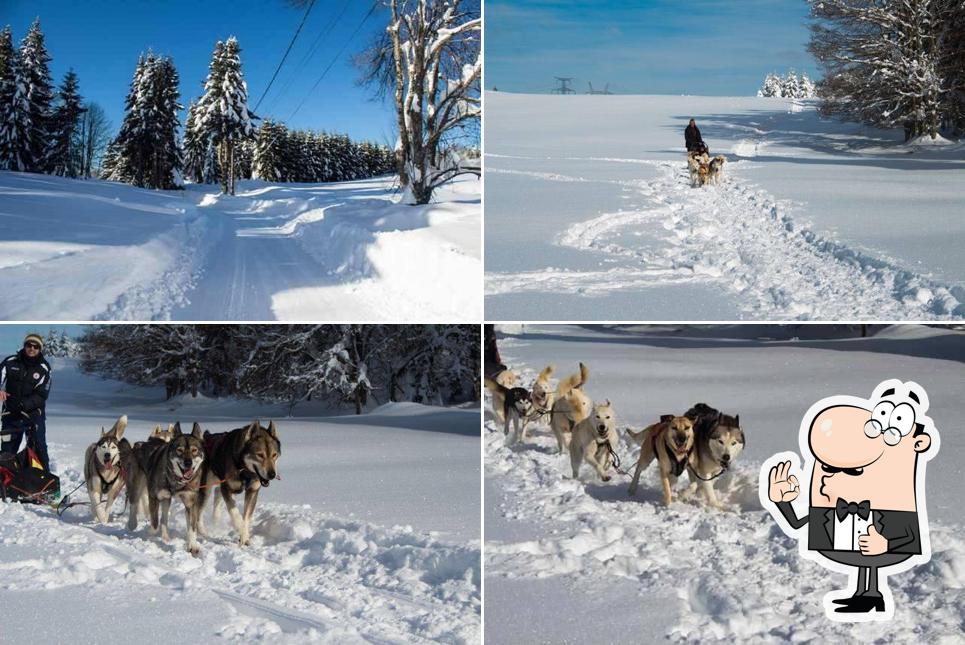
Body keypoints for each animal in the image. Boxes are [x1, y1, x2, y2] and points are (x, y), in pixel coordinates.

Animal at [125, 422, 206, 552]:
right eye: (179, 450)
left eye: (194, 450)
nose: (188, 463)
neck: (176, 480)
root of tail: (140, 444)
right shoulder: (153, 497)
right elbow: (154, 524)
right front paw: (148, 533)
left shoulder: (190, 502)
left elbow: (192, 527)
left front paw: (192, 545)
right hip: (136, 486)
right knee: (134, 503)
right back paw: (132, 524)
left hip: (166, 499)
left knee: (164, 518)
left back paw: (165, 537)